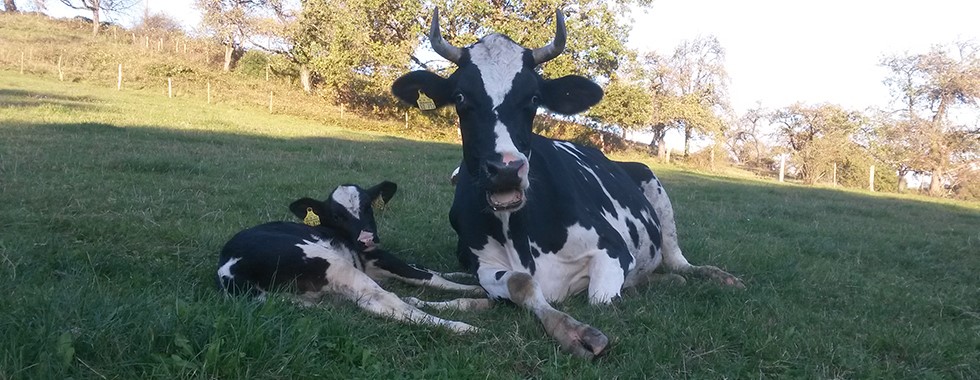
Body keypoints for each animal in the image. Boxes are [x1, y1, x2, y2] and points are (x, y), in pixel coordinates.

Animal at [216, 181, 488, 332]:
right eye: (337, 216)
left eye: (368, 206)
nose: (367, 239)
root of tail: (227, 270)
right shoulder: (378, 258)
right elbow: (428, 277)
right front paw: (475, 287)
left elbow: (428, 270)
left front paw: (464, 275)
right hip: (335, 265)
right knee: (386, 300)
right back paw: (464, 325)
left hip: (314, 297)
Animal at [390, 8, 744, 358]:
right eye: (461, 96)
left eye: (533, 98)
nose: (505, 169)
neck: (519, 232)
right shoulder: (486, 266)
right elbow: (520, 284)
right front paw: (570, 330)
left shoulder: (613, 248)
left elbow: (600, 299)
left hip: (654, 187)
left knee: (679, 262)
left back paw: (716, 277)